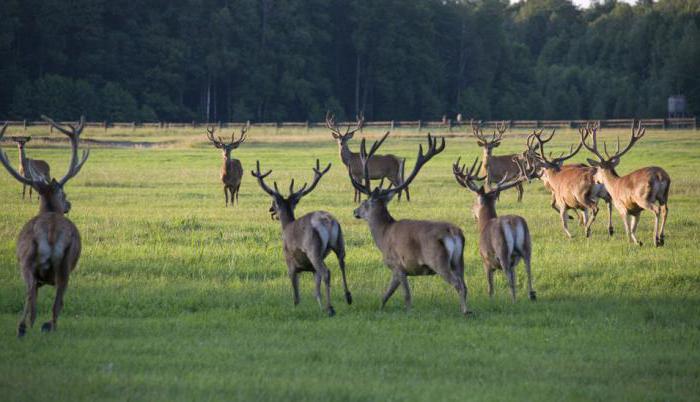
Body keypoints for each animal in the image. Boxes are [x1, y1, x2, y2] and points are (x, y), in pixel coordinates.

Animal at [0, 115, 90, 336]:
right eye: (63, 193)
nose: (68, 205)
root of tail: (50, 232)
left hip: (31, 261)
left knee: (34, 294)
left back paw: (27, 327)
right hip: (64, 265)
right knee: (52, 301)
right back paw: (43, 327)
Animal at [250, 159, 350, 316]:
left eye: (273, 203)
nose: (270, 210)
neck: (286, 226)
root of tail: (327, 221)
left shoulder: (289, 262)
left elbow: (296, 294)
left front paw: (296, 308)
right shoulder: (312, 270)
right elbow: (316, 292)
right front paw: (320, 307)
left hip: (313, 249)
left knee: (326, 272)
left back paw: (331, 308)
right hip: (340, 242)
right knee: (342, 263)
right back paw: (348, 297)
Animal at [350, 131, 470, 314]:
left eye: (364, 202)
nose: (355, 212)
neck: (383, 236)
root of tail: (454, 233)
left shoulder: (398, 264)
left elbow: (406, 295)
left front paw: (408, 312)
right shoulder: (398, 270)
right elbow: (386, 295)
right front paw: (380, 308)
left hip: (438, 260)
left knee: (458, 284)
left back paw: (465, 311)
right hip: (459, 260)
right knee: (464, 283)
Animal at [452, 157, 540, 302]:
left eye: (475, 202)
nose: (472, 211)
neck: (484, 225)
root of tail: (513, 223)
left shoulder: (485, 260)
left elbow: (490, 287)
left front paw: (490, 299)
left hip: (502, 250)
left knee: (508, 277)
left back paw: (513, 300)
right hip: (527, 246)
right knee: (528, 269)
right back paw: (531, 295)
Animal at [580, 119, 672, 247]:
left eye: (597, 169)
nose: (594, 178)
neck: (614, 185)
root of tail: (660, 176)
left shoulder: (621, 207)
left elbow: (628, 229)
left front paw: (629, 242)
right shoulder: (636, 211)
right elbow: (633, 229)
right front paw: (638, 242)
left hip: (643, 197)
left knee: (656, 210)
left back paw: (656, 239)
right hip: (664, 195)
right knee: (665, 210)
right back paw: (662, 238)